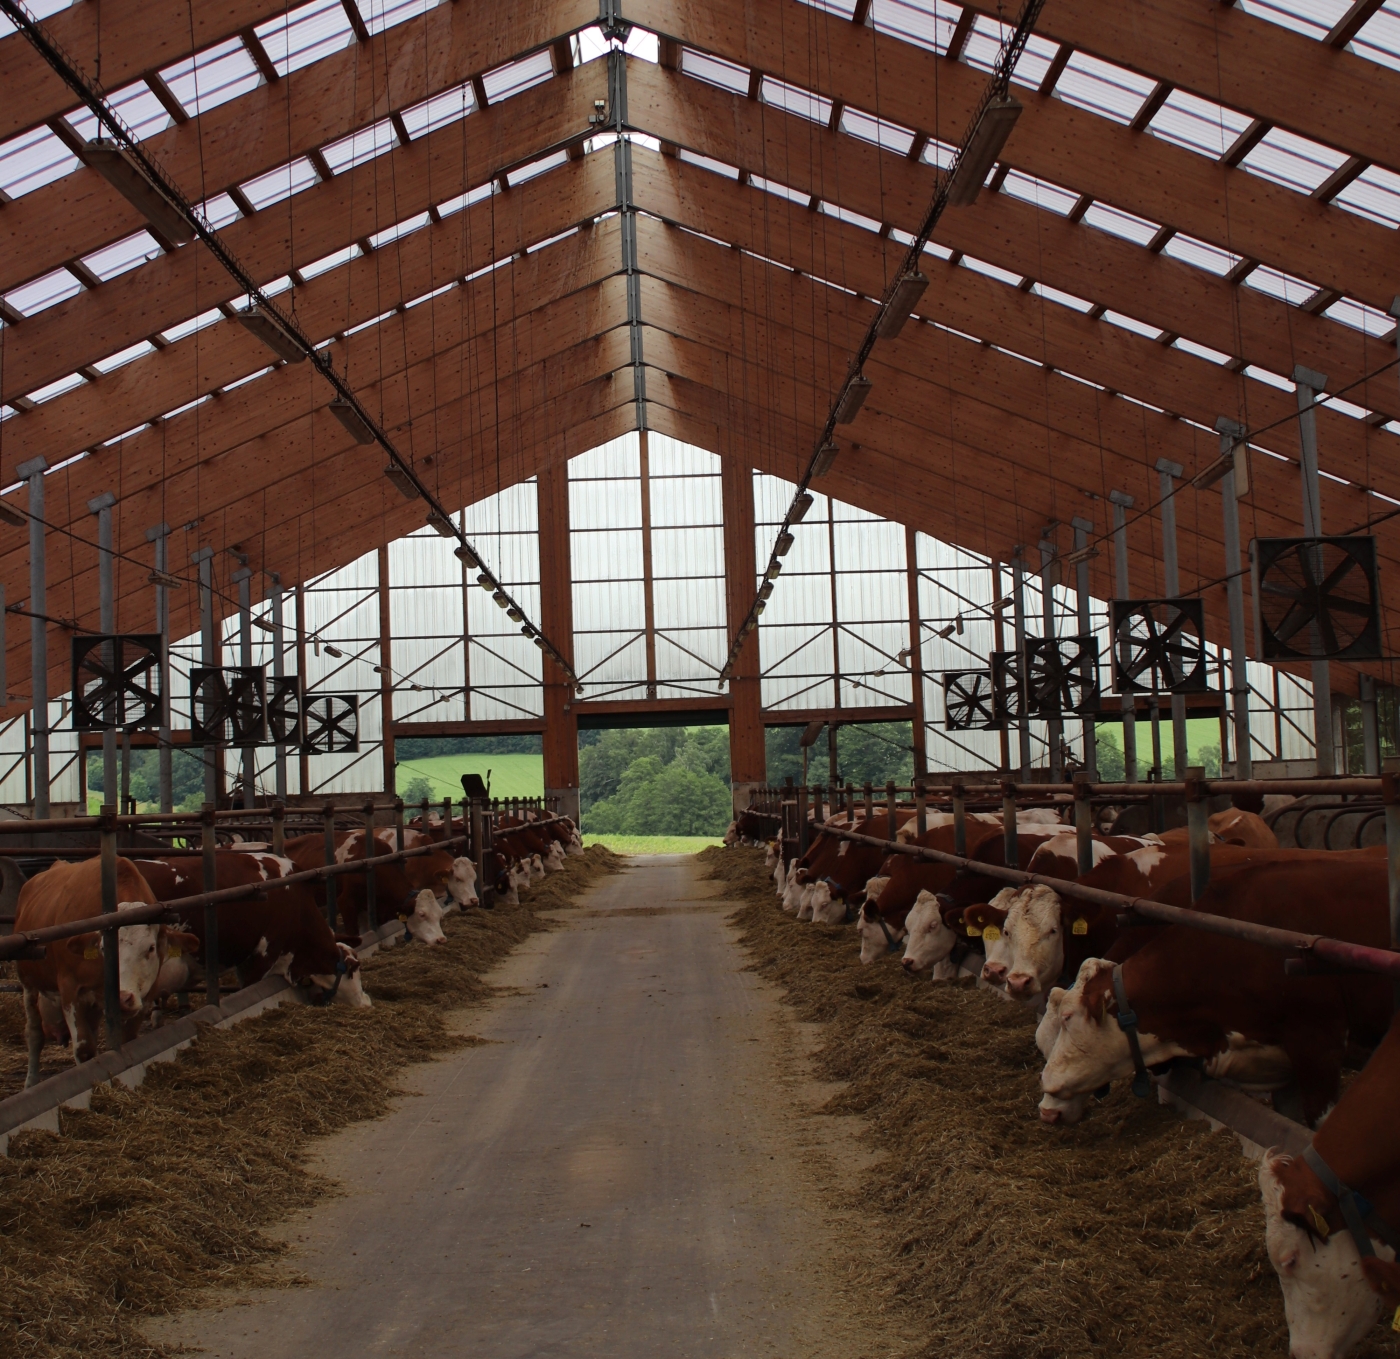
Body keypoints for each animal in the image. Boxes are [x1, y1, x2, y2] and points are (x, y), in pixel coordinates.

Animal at [15, 856, 198, 1085]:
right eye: (103, 948)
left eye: (151, 948)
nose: (122, 998)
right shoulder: (70, 989)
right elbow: (84, 1050)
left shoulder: (145, 995)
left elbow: (128, 1039)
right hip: (28, 983)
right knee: (34, 1034)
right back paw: (31, 1081)